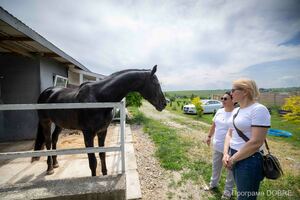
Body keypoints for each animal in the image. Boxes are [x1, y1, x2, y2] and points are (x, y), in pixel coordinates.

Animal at [32, 65, 166, 175]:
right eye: (156, 83)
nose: (164, 103)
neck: (99, 97)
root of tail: (46, 92)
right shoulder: (88, 134)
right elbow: (93, 161)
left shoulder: (102, 131)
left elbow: (102, 154)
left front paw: (105, 174)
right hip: (46, 122)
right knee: (48, 142)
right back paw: (50, 168)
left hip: (59, 124)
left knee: (54, 139)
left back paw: (55, 163)